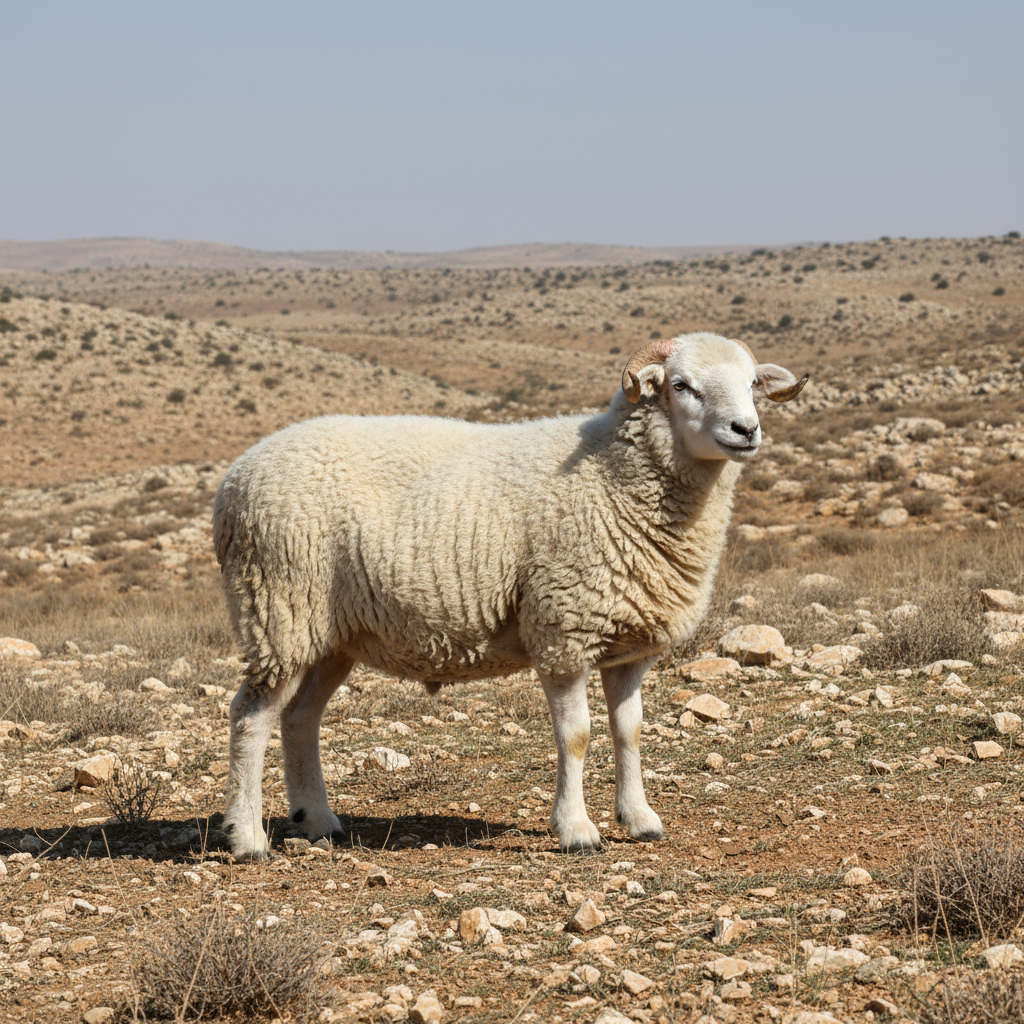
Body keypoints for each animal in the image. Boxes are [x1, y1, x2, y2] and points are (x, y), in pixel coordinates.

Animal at [213, 332, 806, 858]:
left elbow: (630, 732)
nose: (746, 429)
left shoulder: (627, 644)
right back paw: (247, 839)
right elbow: (577, 736)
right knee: (250, 717)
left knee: (299, 718)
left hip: (329, 634)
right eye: (682, 385)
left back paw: (317, 820)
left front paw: (640, 819)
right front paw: (577, 830)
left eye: (751, 384)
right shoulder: (564, 627)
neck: (612, 474)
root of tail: (236, 476)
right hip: (278, 605)